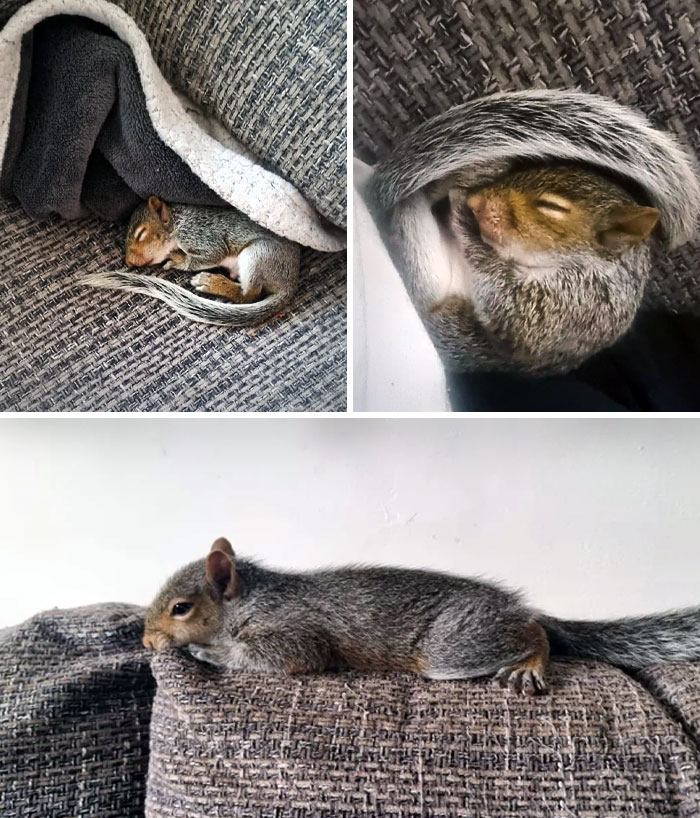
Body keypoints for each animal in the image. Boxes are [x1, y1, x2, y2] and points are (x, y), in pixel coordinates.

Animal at [83, 196, 300, 326]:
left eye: (141, 233)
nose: (129, 262)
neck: (178, 222)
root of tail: (289, 283)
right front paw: (176, 256)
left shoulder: (200, 236)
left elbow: (209, 256)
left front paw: (178, 261)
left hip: (259, 255)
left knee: (250, 295)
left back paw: (211, 282)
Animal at [143, 537, 700, 696]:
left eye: (181, 608)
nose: (147, 643)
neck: (253, 599)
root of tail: (515, 605)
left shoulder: (296, 630)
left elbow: (284, 655)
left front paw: (205, 650)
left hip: (451, 648)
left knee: (537, 632)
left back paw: (529, 664)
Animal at [365, 90, 700, 374]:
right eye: (523, 173)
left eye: (550, 206)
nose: (476, 202)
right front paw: (480, 176)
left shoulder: (579, 303)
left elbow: (514, 308)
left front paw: (464, 217)